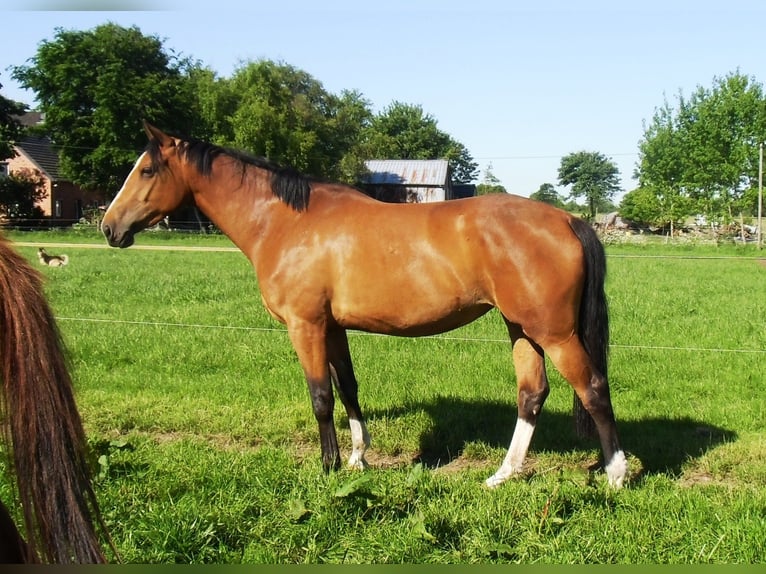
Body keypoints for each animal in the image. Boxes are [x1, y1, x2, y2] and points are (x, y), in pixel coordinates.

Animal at [102, 121, 632, 490]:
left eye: (146, 169)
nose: (109, 227)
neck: (286, 222)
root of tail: (567, 220)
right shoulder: (333, 327)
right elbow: (349, 389)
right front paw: (358, 457)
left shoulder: (305, 326)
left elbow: (320, 396)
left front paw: (329, 466)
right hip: (521, 329)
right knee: (532, 394)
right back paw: (503, 475)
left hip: (555, 334)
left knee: (593, 389)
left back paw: (616, 474)